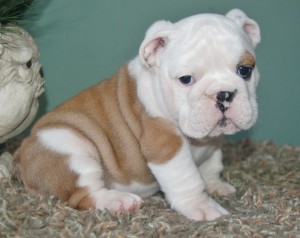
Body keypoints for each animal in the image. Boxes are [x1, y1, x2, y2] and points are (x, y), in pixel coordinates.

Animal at [12, 8, 260, 221]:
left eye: (244, 70)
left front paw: (216, 186)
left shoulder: (213, 143)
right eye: (186, 79)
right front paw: (202, 206)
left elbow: (212, 165)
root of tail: (21, 153)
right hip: (71, 149)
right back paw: (119, 202)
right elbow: (187, 179)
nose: (223, 94)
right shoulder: (165, 144)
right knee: (85, 196)